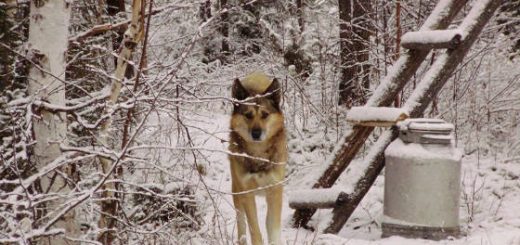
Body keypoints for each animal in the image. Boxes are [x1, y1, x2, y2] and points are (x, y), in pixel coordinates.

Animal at [229, 72, 286, 244]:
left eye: (265, 115)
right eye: (248, 115)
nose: (256, 133)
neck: (259, 154)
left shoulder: (275, 191)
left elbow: (273, 229)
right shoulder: (246, 192)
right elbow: (254, 229)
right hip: (237, 191)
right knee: (241, 223)